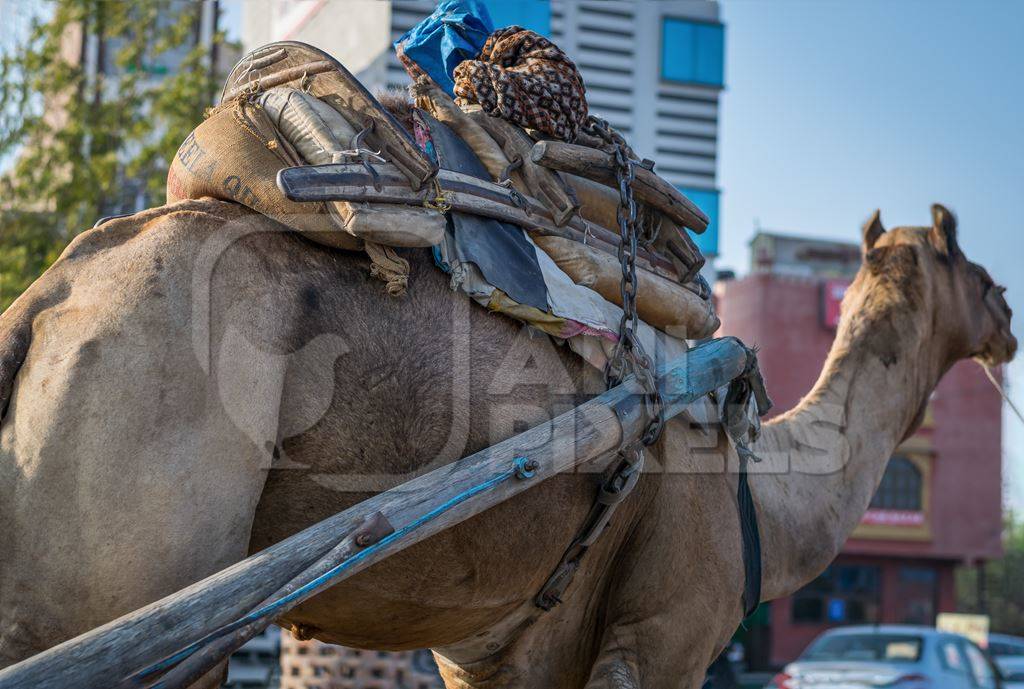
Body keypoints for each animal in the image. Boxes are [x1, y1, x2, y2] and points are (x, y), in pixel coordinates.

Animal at [0, 196, 1011, 683]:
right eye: (983, 273)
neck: (763, 488)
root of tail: (43, 304)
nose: (1010, 321)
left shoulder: (508, 653)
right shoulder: (667, 634)